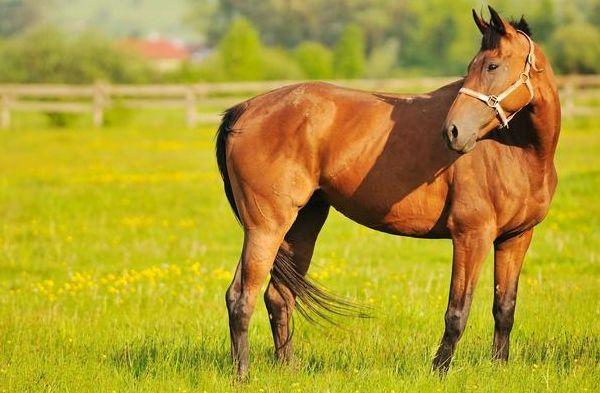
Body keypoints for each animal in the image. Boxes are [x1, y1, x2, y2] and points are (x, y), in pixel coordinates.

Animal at [217, 6, 564, 380]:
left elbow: (504, 307)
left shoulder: (516, 238)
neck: (517, 149)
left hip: (302, 225)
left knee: (278, 297)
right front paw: (439, 371)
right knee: (241, 296)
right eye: (474, 66)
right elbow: (457, 311)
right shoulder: (472, 236)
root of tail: (244, 110)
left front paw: (498, 368)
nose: (453, 132)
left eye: (492, 66)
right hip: (266, 227)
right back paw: (242, 375)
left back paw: (289, 370)